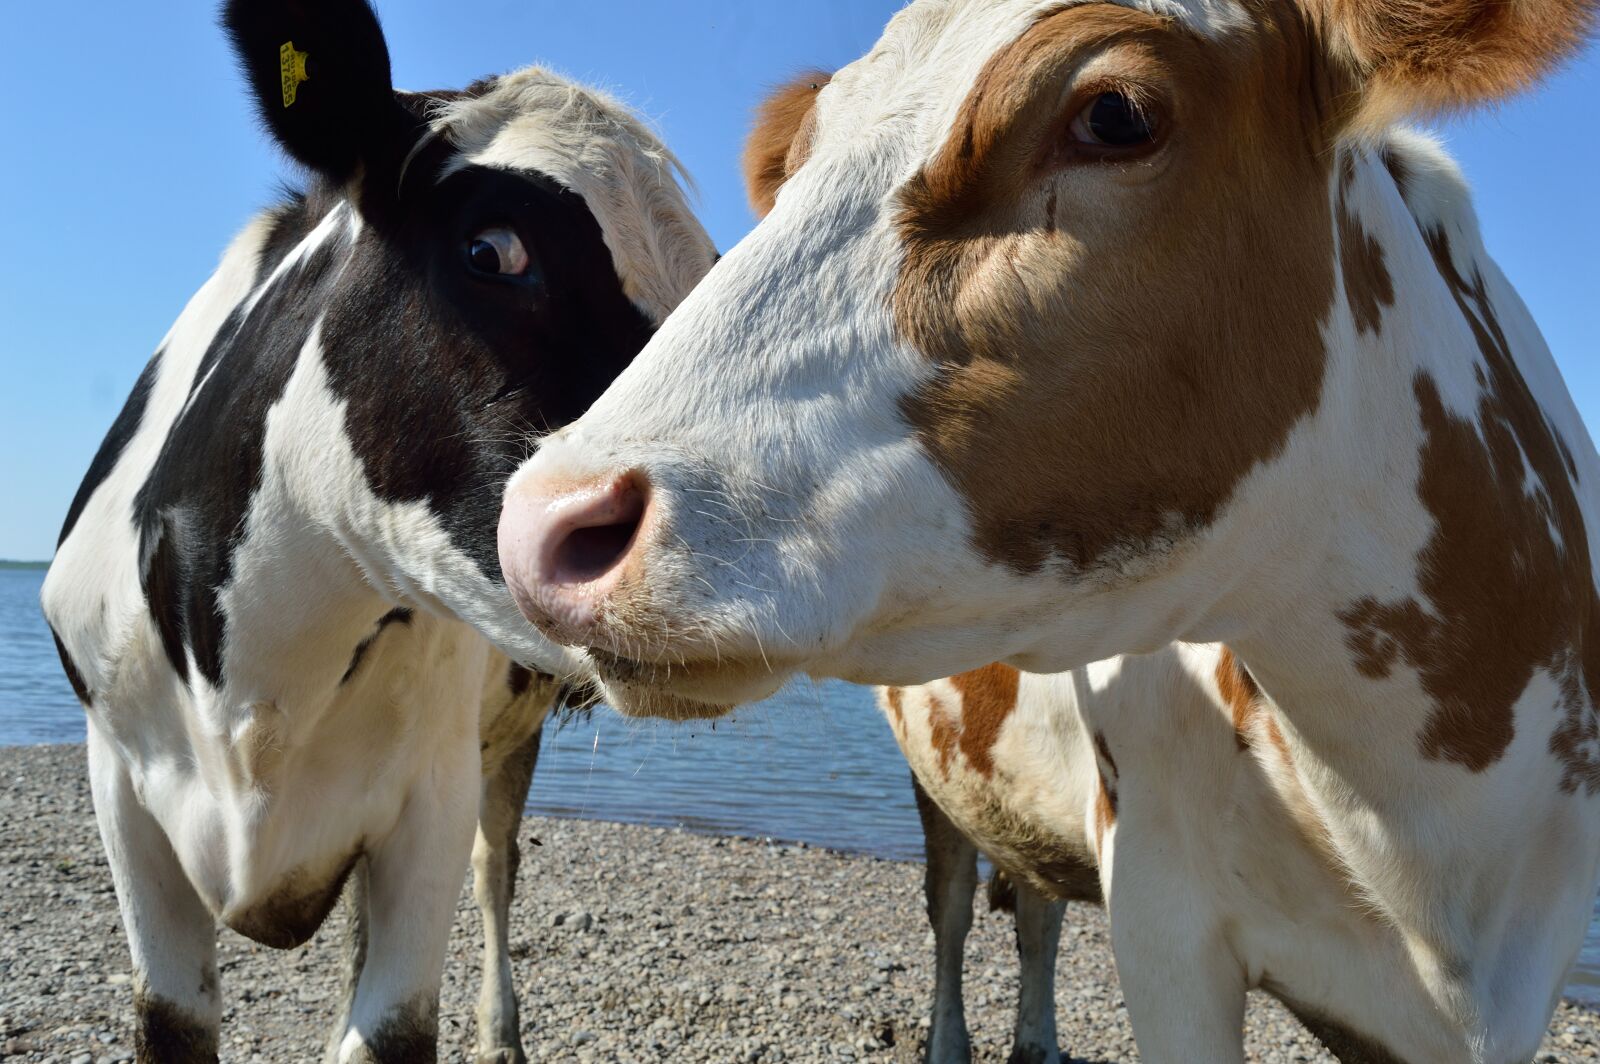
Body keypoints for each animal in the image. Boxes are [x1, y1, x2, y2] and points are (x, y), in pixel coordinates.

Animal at [39, 1, 715, 1060]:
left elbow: (393, 1021)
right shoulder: (120, 787)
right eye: (493, 250)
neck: (255, 676)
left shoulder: (428, 793)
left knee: (496, 867)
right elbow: (170, 1019)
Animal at [494, 0, 1600, 1060]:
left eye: (1114, 115)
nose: (548, 516)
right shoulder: (1165, 919)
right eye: (802, 160)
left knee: (1034, 911)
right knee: (953, 909)